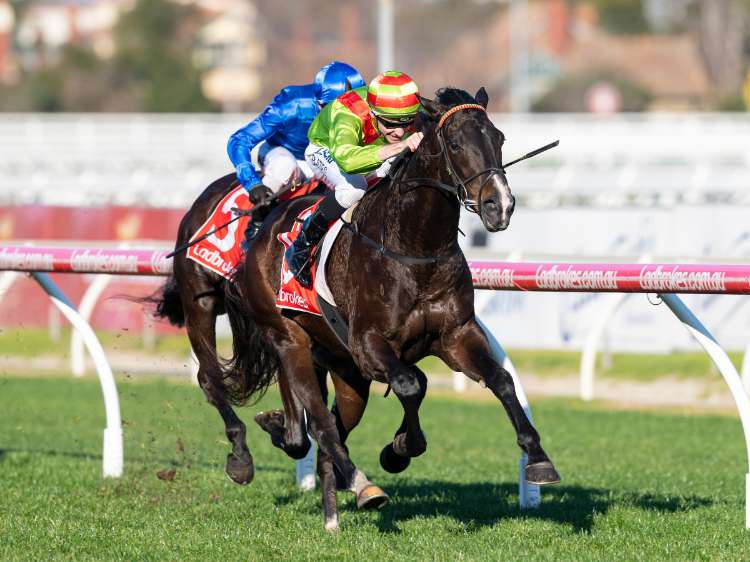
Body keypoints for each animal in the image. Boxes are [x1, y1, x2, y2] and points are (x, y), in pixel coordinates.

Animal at [216, 86, 561, 530]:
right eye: (454, 143)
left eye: (499, 138)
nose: (498, 205)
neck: (416, 248)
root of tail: (261, 233)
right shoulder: (367, 343)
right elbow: (411, 384)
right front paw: (398, 449)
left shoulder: (456, 335)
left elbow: (499, 380)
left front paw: (538, 458)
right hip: (291, 341)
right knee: (321, 425)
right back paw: (360, 485)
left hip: (346, 373)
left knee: (328, 437)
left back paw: (331, 514)